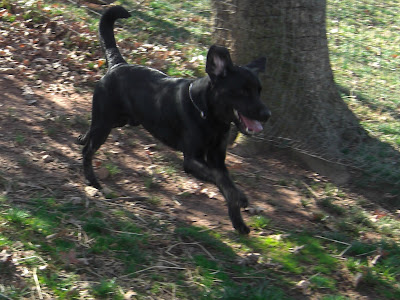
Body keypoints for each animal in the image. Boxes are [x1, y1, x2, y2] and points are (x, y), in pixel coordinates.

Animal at [77, 5, 272, 234]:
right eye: (242, 91)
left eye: (259, 91)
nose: (267, 114)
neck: (209, 117)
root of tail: (118, 65)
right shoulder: (192, 160)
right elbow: (222, 182)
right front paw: (240, 199)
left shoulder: (217, 159)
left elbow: (226, 183)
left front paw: (239, 222)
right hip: (106, 123)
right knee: (88, 150)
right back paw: (93, 181)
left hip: (117, 120)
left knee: (91, 129)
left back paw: (82, 138)